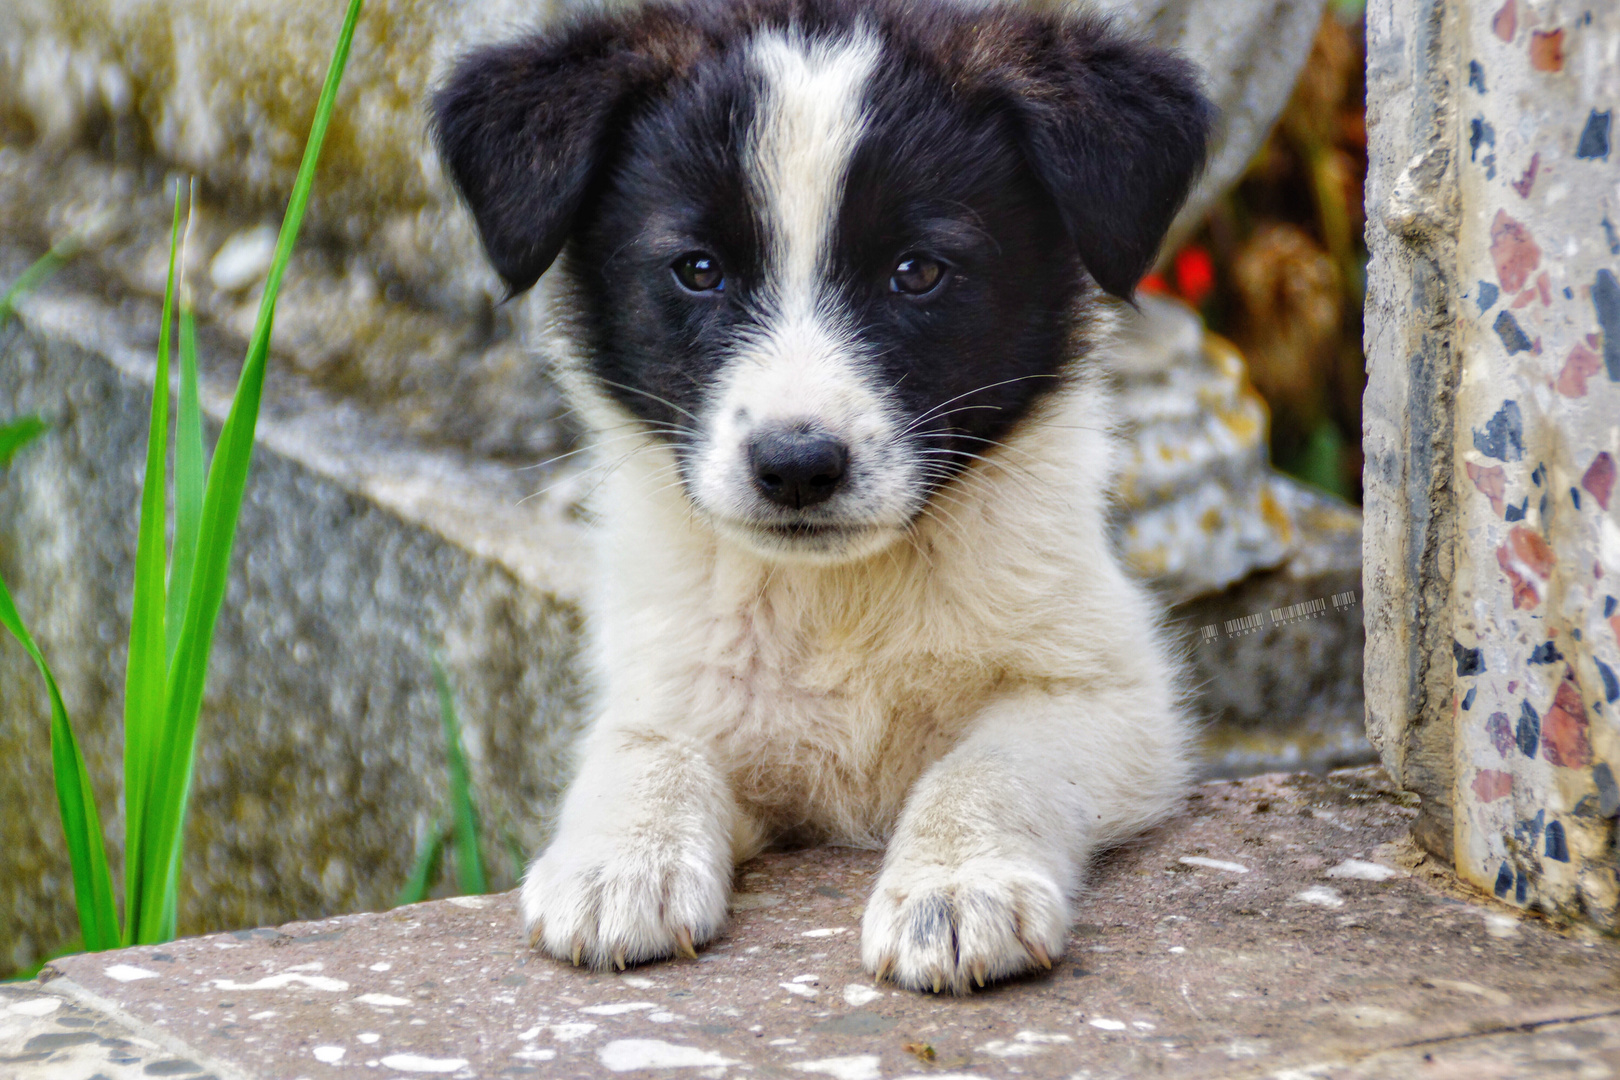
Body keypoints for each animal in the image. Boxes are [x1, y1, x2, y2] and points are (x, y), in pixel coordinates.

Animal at [437, 0, 1211, 997]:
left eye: (917, 272)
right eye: (698, 269)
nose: (797, 466)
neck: (838, 601)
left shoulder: (1113, 697)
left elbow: (989, 761)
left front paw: (956, 887)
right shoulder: (676, 675)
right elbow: (647, 745)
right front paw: (620, 863)